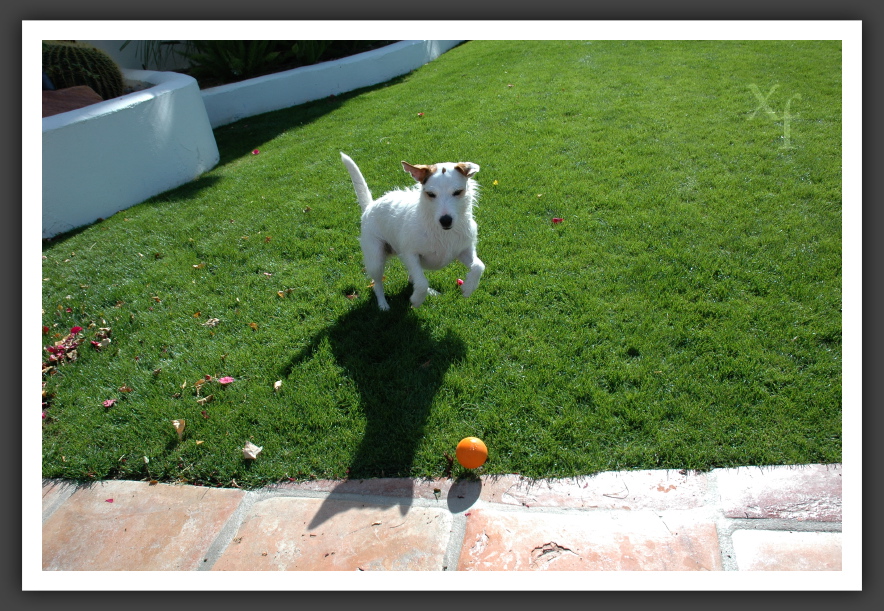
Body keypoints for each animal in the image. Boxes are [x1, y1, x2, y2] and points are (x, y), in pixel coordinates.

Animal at [340, 149, 484, 310]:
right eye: (431, 194)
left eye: (458, 192)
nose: (445, 220)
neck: (441, 231)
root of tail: (370, 206)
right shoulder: (410, 254)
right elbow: (421, 283)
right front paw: (416, 300)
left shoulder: (465, 250)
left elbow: (479, 266)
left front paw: (468, 287)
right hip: (376, 259)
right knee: (378, 283)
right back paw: (383, 304)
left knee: (413, 277)